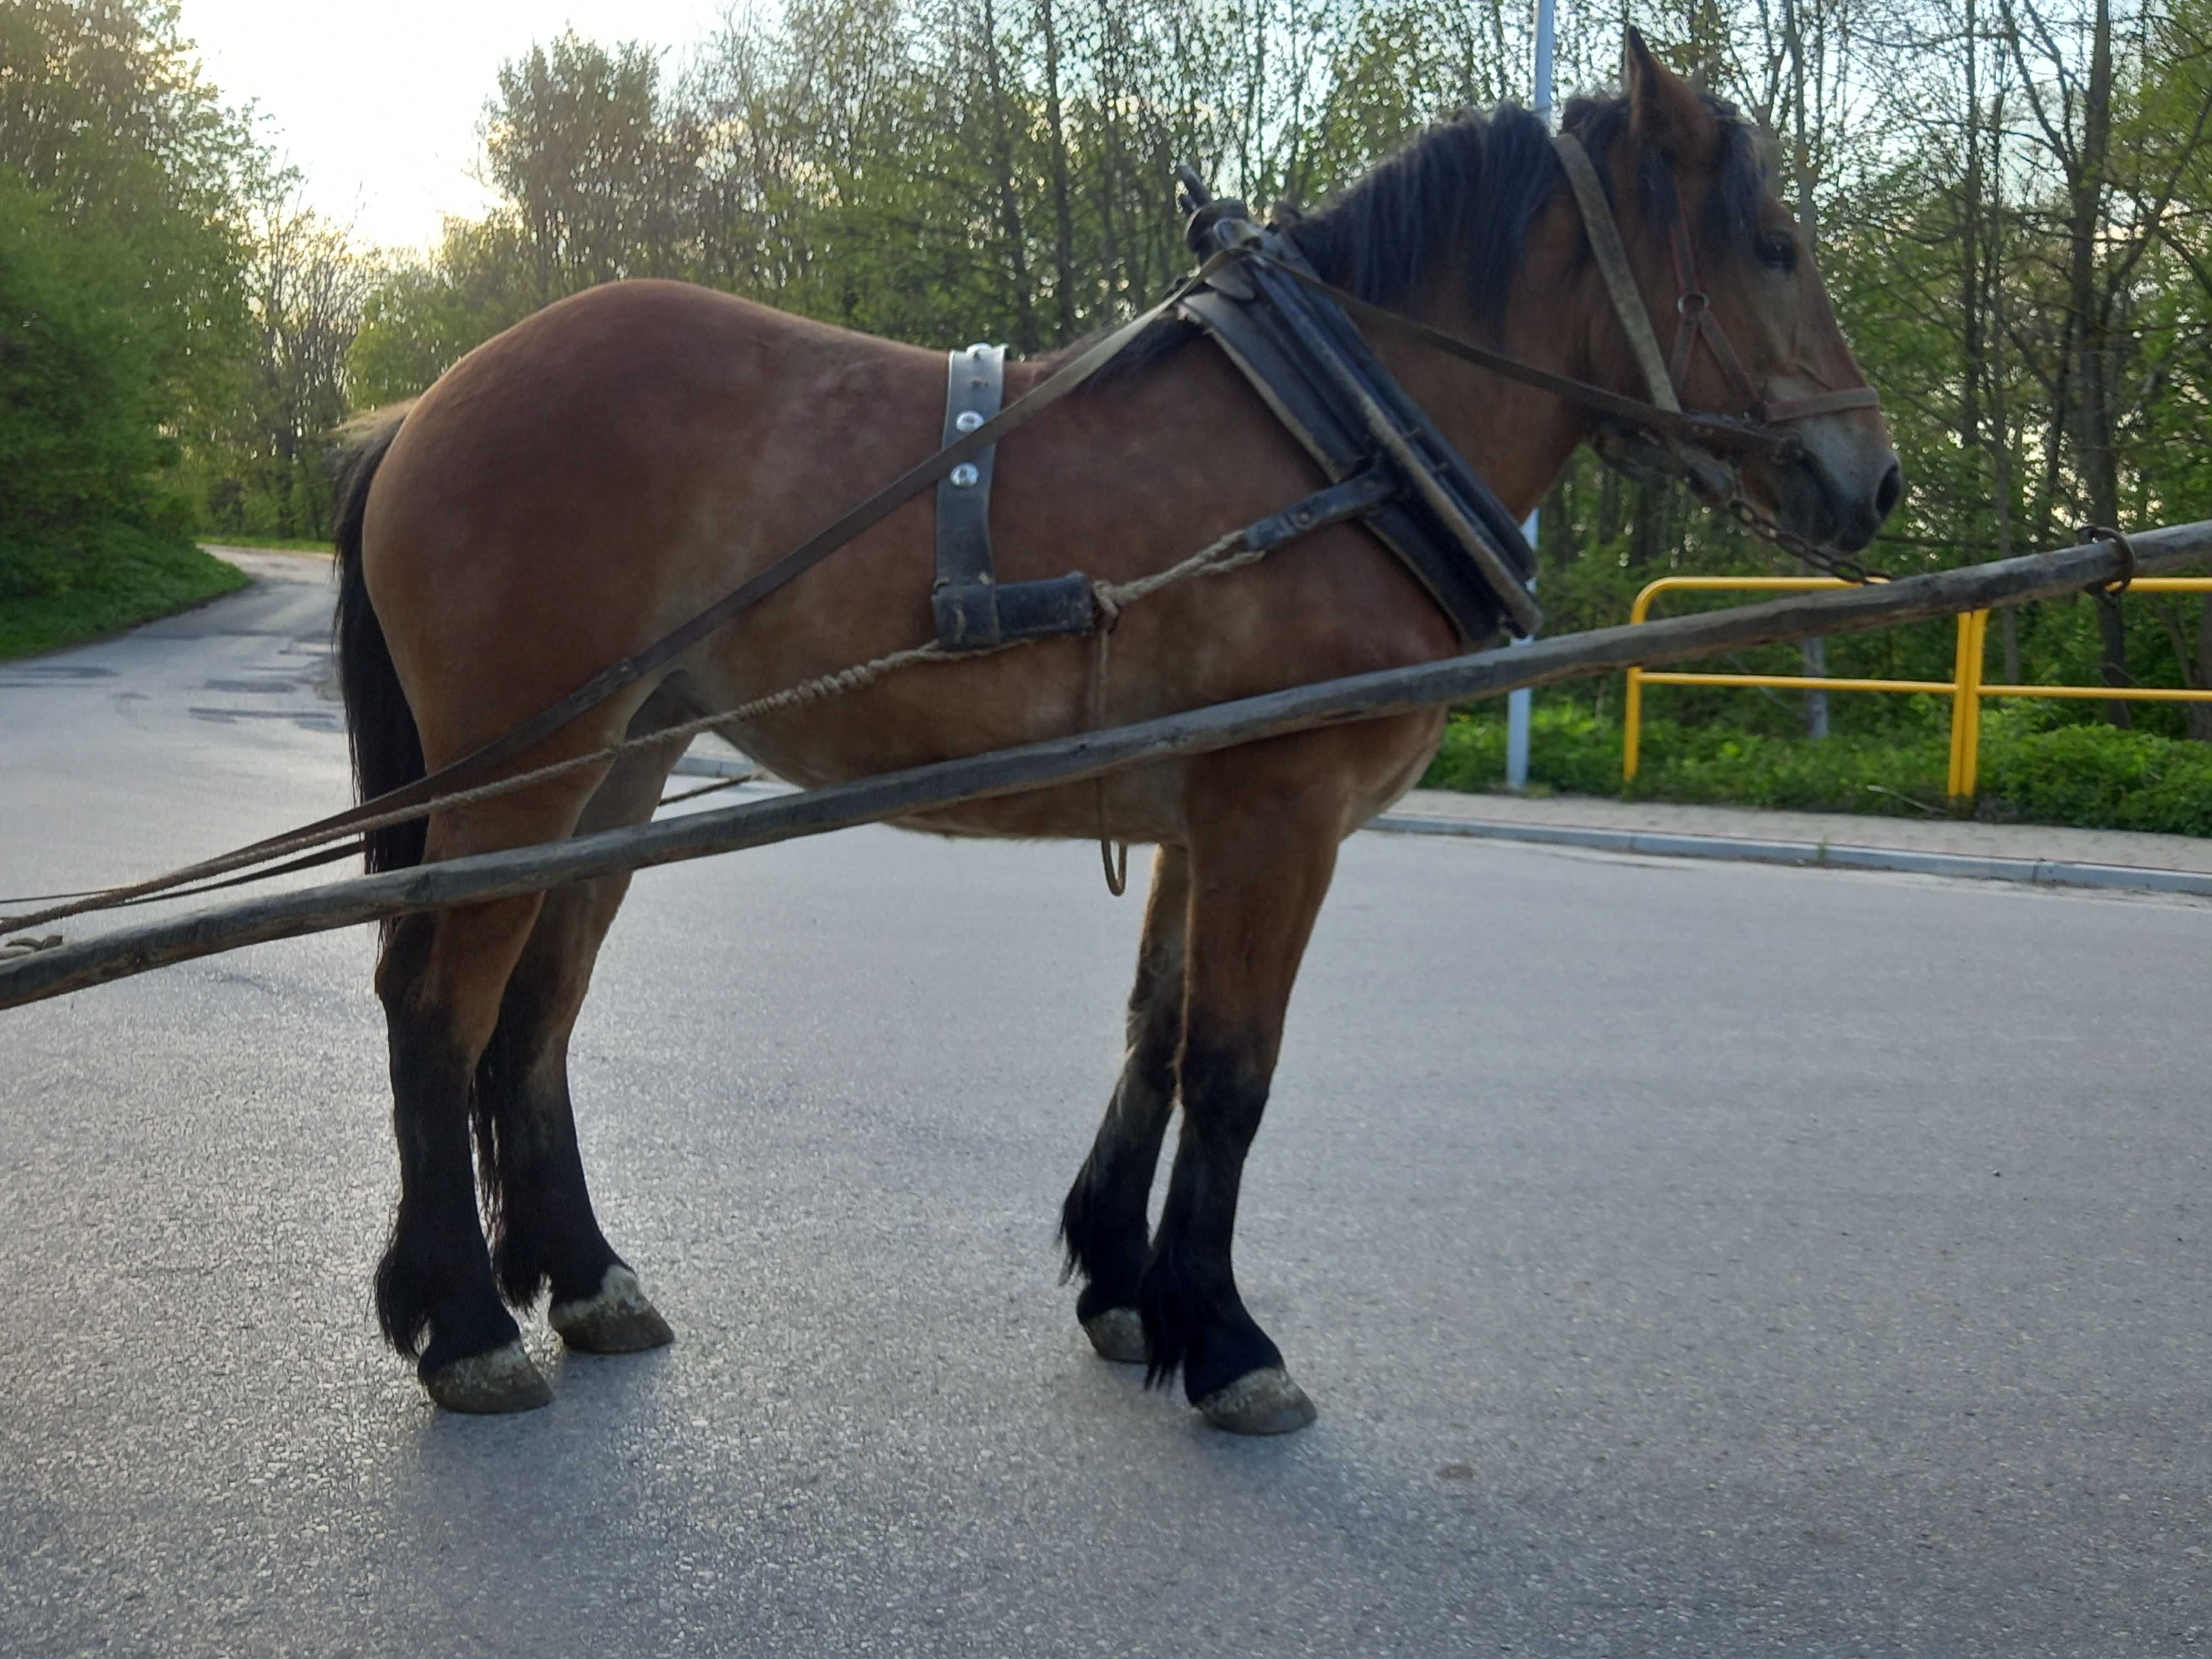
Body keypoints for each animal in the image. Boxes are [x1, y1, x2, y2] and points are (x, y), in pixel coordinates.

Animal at [327, 42, 1902, 1442]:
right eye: (1775, 243)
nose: (1876, 479)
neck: (1347, 437)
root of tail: (430, 400)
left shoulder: (1211, 810)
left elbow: (1158, 1032)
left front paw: (1128, 1286)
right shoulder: (1283, 808)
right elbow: (1234, 1068)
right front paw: (1228, 1338)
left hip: (621, 756)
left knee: (536, 1008)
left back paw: (585, 1278)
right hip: (515, 770)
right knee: (437, 1000)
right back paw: (465, 1326)